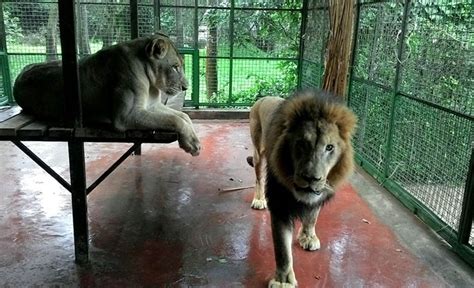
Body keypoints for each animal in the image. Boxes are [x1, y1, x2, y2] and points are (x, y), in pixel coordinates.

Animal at [13, 32, 200, 155]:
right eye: (175, 67)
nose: (185, 87)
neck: (150, 82)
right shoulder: (126, 116)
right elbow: (175, 119)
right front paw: (192, 144)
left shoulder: (152, 106)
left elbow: (184, 116)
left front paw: (192, 138)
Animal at [248, 89, 356, 286]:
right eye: (301, 143)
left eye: (329, 147)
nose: (312, 178)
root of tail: (263, 98)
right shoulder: (280, 205)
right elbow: (282, 249)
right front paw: (283, 281)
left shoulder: (319, 193)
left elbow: (312, 217)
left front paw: (308, 237)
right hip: (258, 150)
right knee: (258, 177)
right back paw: (259, 200)